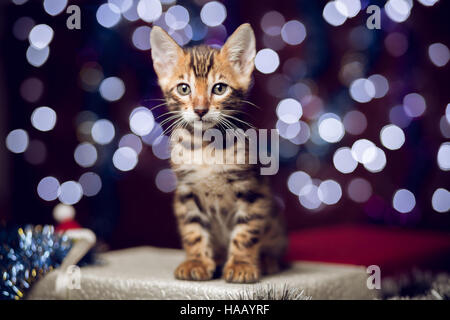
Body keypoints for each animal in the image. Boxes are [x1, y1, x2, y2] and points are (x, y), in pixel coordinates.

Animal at [149, 23, 286, 282]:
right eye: (184, 88)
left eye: (219, 88)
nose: (200, 109)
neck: (206, 145)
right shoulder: (186, 191)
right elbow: (192, 230)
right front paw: (196, 261)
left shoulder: (251, 188)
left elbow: (247, 230)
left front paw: (242, 264)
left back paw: (267, 260)